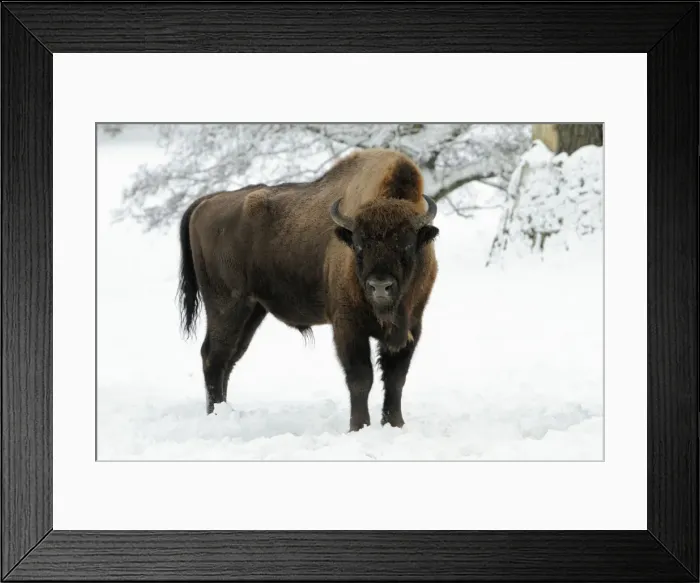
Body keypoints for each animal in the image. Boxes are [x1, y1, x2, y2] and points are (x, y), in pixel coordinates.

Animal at [177, 148, 439, 432]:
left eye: (407, 245)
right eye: (359, 245)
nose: (380, 285)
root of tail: (207, 201)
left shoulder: (412, 326)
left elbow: (395, 378)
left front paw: (395, 424)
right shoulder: (348, 327)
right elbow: (361, 378)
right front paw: (358, 427)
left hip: (252, 311)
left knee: (229, 357)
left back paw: (226, 411)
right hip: (226, 306)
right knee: (213, 356)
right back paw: (216, 415)